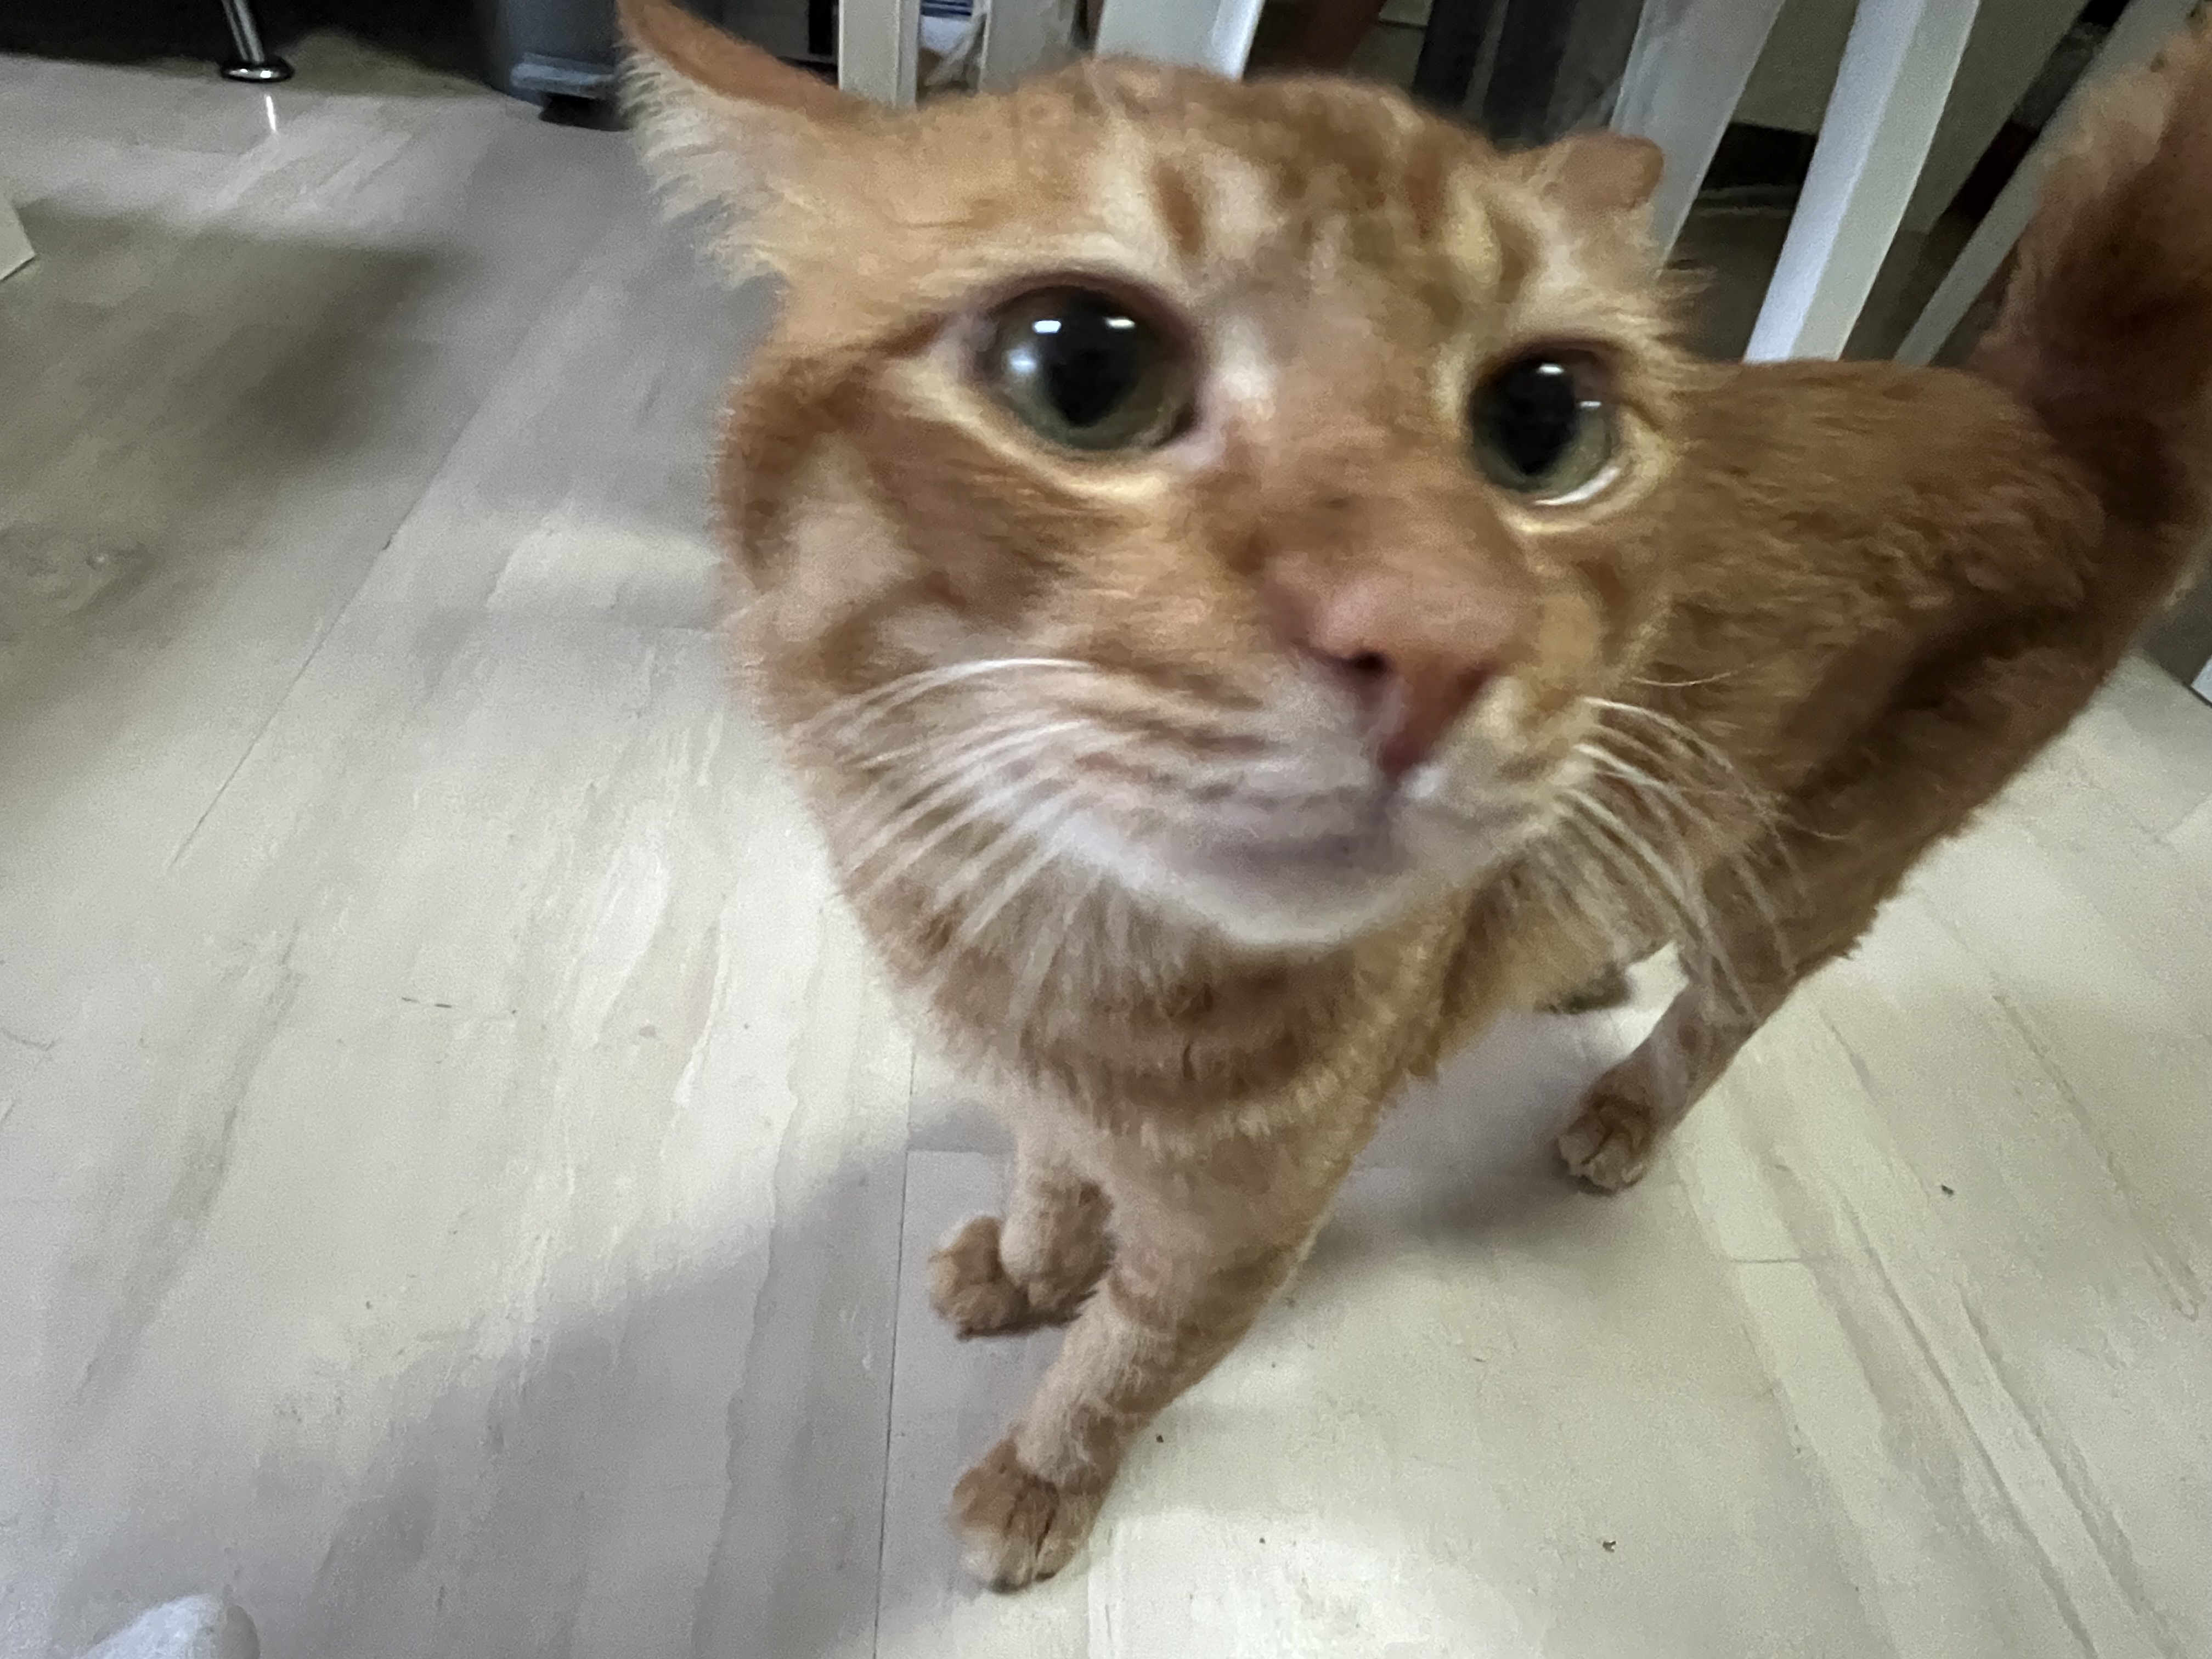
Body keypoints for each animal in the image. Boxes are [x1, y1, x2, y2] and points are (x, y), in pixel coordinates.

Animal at [621, 0, 2212, 1589]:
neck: (1055, 955)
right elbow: (1051, 1192)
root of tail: (2053, 418)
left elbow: (1121, 1365)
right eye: (1080, 369)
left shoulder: (1239, 1235)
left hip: (1809, 877)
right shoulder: (1047, 1113)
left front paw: (1038, 1477)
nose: (1442, 634)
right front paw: (1026, 1269)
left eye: (1546, 419)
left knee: (1716, 1019)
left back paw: (1623, 1108)